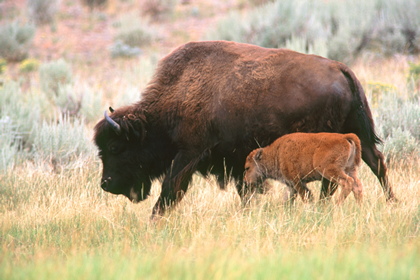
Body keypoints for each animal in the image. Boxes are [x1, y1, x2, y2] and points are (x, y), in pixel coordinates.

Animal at [93, 41, 396, 217]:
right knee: (376, 163)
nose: (106, 184)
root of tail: (342, 69)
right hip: (358, 134)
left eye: (115, 147)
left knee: (336, 179)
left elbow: (171, 186)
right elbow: (244, 189)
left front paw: (155, 218)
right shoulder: (237, 160)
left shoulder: (189, 153)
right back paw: (391, 202)